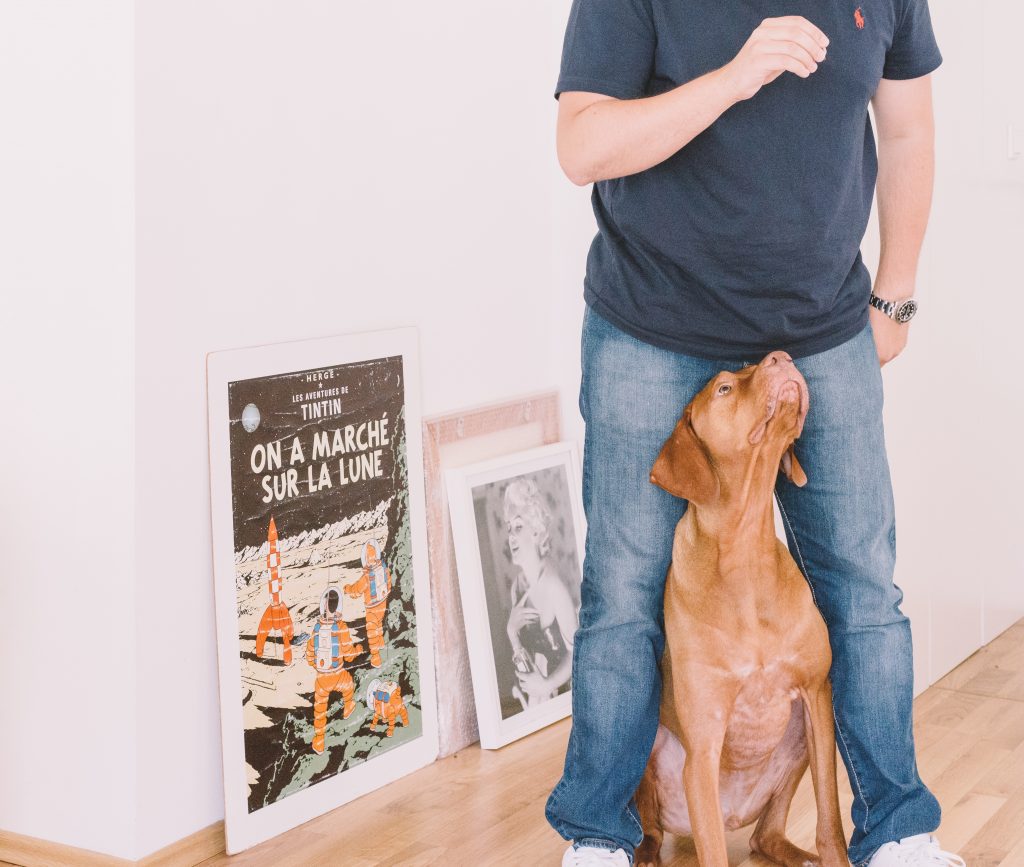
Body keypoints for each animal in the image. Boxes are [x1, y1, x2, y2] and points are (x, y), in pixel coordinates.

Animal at [638, 350, 847, 867]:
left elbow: (831, 822)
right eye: (724, 389)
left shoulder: (816, 696)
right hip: (654, 753)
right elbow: (712, 853)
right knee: (650, 827)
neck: (744, 554)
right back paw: (645, 853)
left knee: (764, 836)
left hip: (798, 740)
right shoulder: (703, 748)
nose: (782, 355)